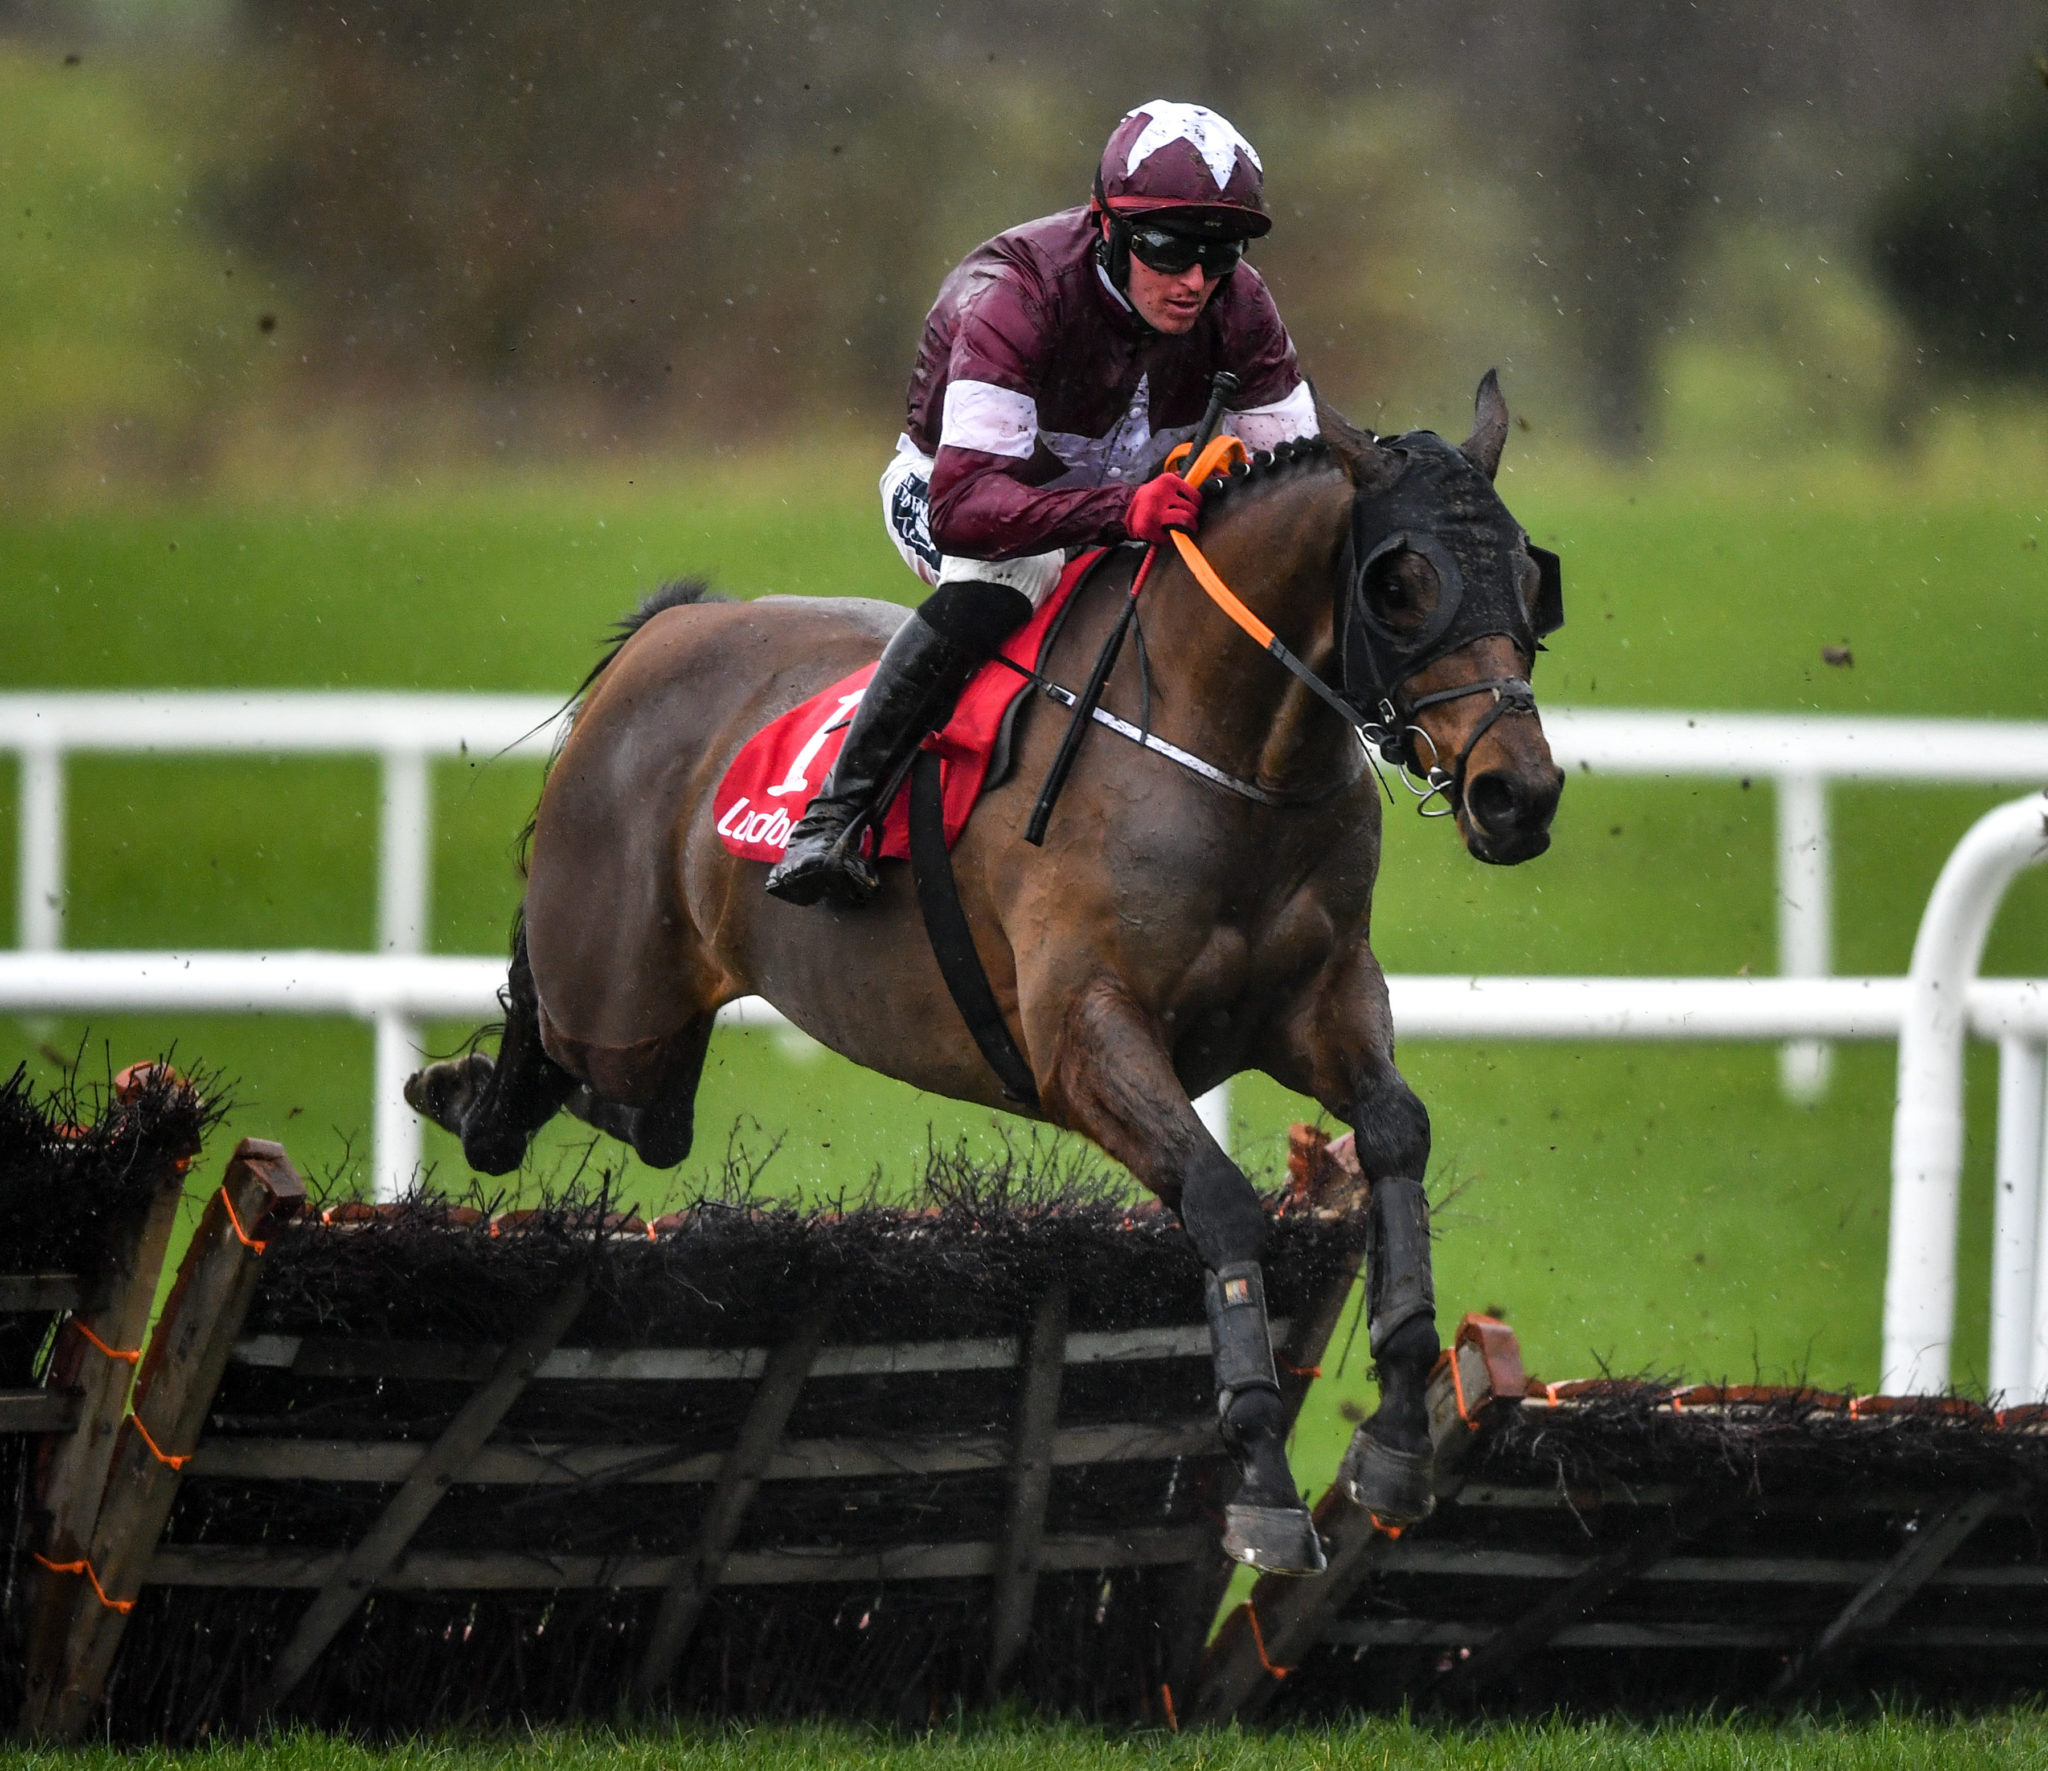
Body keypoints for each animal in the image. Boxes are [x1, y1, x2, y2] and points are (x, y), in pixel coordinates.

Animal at [407, 376, 1556, 1572]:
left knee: (651, 1114)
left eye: (1531, 577)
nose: (1516, 794)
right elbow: (1219, 1201)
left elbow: (1394, 1135)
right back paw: (466, 1089)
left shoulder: (1319, 999)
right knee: (551, 1043)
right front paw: (1260, 1478)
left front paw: (1395, 1432)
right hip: (612, 989)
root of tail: (670, 628)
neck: (1223, 751)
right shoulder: (1082, 1038)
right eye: (1402, 584)